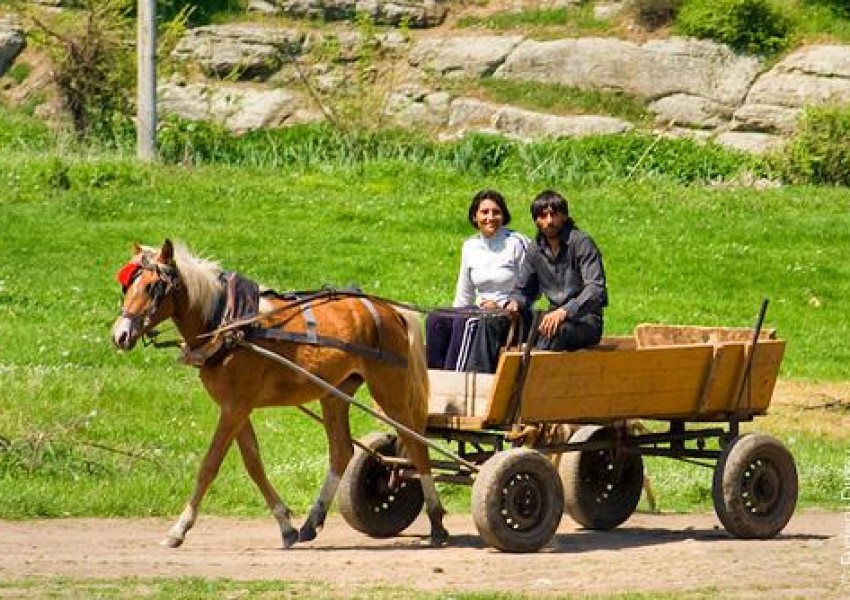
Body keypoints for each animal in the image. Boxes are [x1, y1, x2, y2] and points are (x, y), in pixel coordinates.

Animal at [109, 239, 448, 548]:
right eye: (128, 286)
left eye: (153, 287)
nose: (120, 335)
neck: (227, 322)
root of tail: (390, 310)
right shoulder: (237, 407)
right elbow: (253, 464)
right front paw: (285, 524)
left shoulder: (235, 407)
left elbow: (209, 465)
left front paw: (179, 528)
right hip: (335, 393)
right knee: (342, 452)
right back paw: (312, 522)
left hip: (390, 389)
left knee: (417, 447)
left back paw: (436, 522)